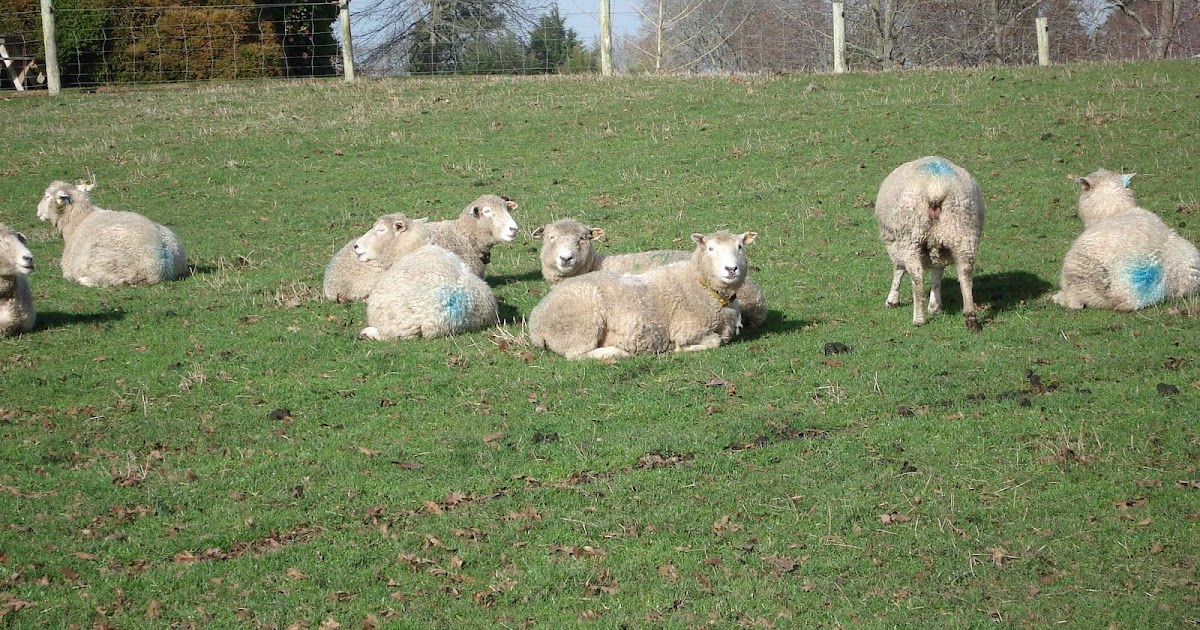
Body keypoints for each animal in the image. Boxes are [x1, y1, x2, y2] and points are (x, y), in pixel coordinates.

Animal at [36, 180, 188, 287]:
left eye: (47, 196)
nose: (37, 210)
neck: (78, 219)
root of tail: (162, 264)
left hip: (108, 265)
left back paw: (83, 280)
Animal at [528, 230, 755, 360]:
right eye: (710, 248)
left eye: (740, 247)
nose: (731, 269)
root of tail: (536, 320)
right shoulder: (687, 331)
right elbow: (714, 341)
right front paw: (679, 350)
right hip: (582, 326)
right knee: (575, 355)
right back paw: (616, 352)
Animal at [874, 156, 985, 331]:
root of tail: (936, 187)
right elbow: (937, 274)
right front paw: (935, 306)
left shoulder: (894, 244)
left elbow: (898, 269)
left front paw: (892, 300)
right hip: (962, 232)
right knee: (965, 273)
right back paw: (970, 317)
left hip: (911, 237)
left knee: (916, 276)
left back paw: (918, 319)